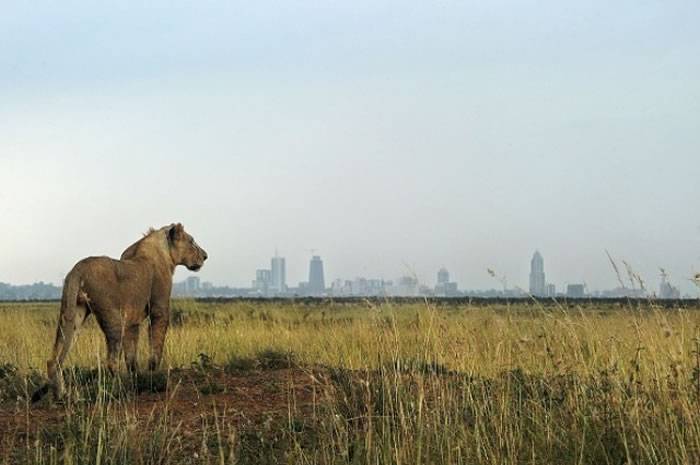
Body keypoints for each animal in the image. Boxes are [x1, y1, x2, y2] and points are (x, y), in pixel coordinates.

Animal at [32, 223, 206, 400]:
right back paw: (122, 390)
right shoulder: (159, 309)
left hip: (73, 314)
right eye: (192, 241)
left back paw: (61, 395)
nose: (205, 256)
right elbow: (156, 345)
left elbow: (131, 357)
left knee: (54, 359)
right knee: (111, 361)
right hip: (112, 318)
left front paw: (137, 379)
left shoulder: (131, 322)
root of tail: (77, 269)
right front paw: (154, 376)